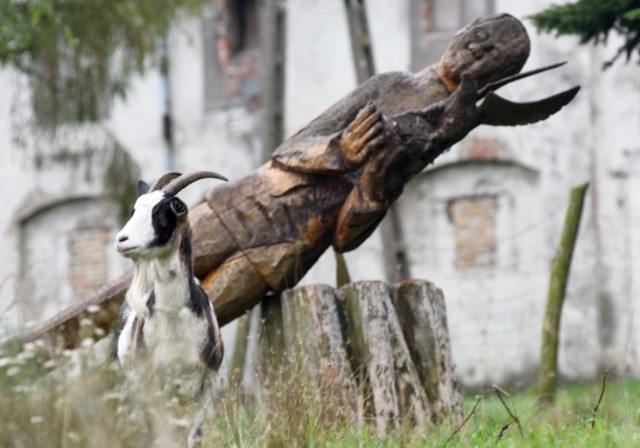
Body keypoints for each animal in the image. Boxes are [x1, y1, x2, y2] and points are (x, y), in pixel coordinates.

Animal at [114, 171, 228, 444]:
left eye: (162, 212)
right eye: (134, 210)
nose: (121, 240)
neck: (175, 317)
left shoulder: (207, 381)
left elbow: (194, 435)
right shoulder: (152, 385)